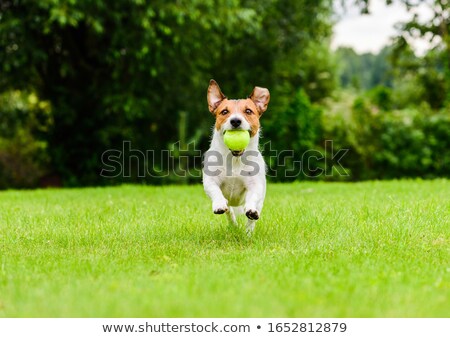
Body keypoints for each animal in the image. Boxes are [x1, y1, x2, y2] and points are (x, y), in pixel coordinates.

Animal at [204, 79, 270, 234]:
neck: (235, 158)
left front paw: (251, 211)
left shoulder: (255, 185)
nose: (235, 121)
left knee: (252, 218)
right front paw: (219, 204)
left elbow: (253, 197)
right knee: (230, 212)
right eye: (224, 111)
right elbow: (215, 190)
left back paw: (248, 232)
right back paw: (233, 224)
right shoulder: (210, 180)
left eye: (248, 111)